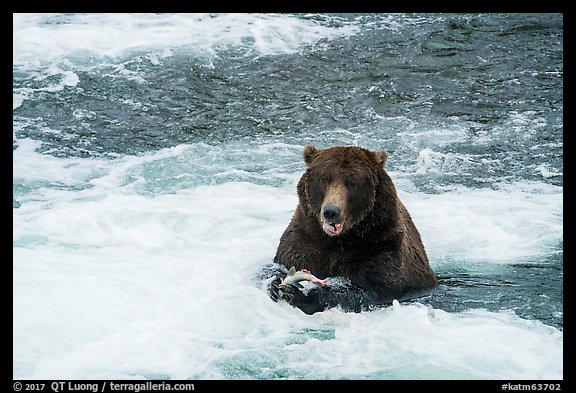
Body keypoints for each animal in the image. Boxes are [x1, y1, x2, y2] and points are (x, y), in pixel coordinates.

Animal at [268, 144, 436, 312]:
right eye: (324, 179)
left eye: (352, 182)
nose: (331, 211)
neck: (341, 238)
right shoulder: (304, 240)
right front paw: (275, 284)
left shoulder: (382, 245)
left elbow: (366, 289)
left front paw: (298, 293)